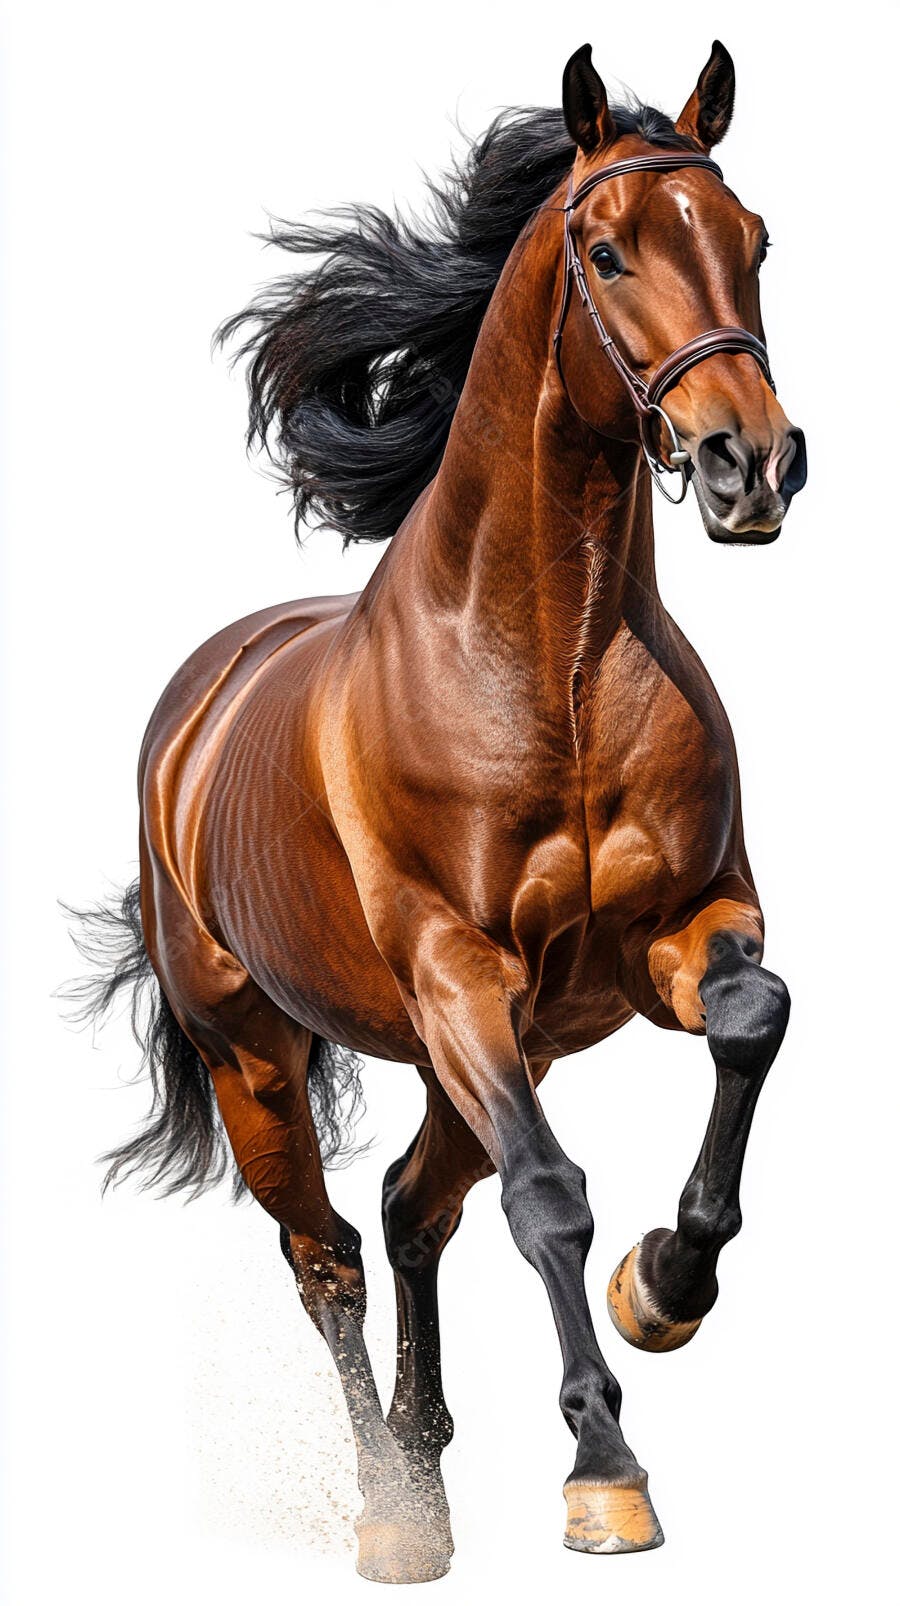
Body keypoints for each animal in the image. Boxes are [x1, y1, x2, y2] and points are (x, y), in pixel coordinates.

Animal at [73, 40, 806, 1583]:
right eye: (607, 248)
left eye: (754, 239)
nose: (752, 464)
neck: (549, 664)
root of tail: (192, 715)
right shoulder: (460, 971)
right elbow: (550, 1197)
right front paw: (606, 1476)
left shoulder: (680, 931)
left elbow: (752, 1022)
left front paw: (665, 1284)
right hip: (261, 1058)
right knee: (333, 1254)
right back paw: (396, 1511)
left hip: (473, 1051)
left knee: (414, 1208)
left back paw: (429, 1454)